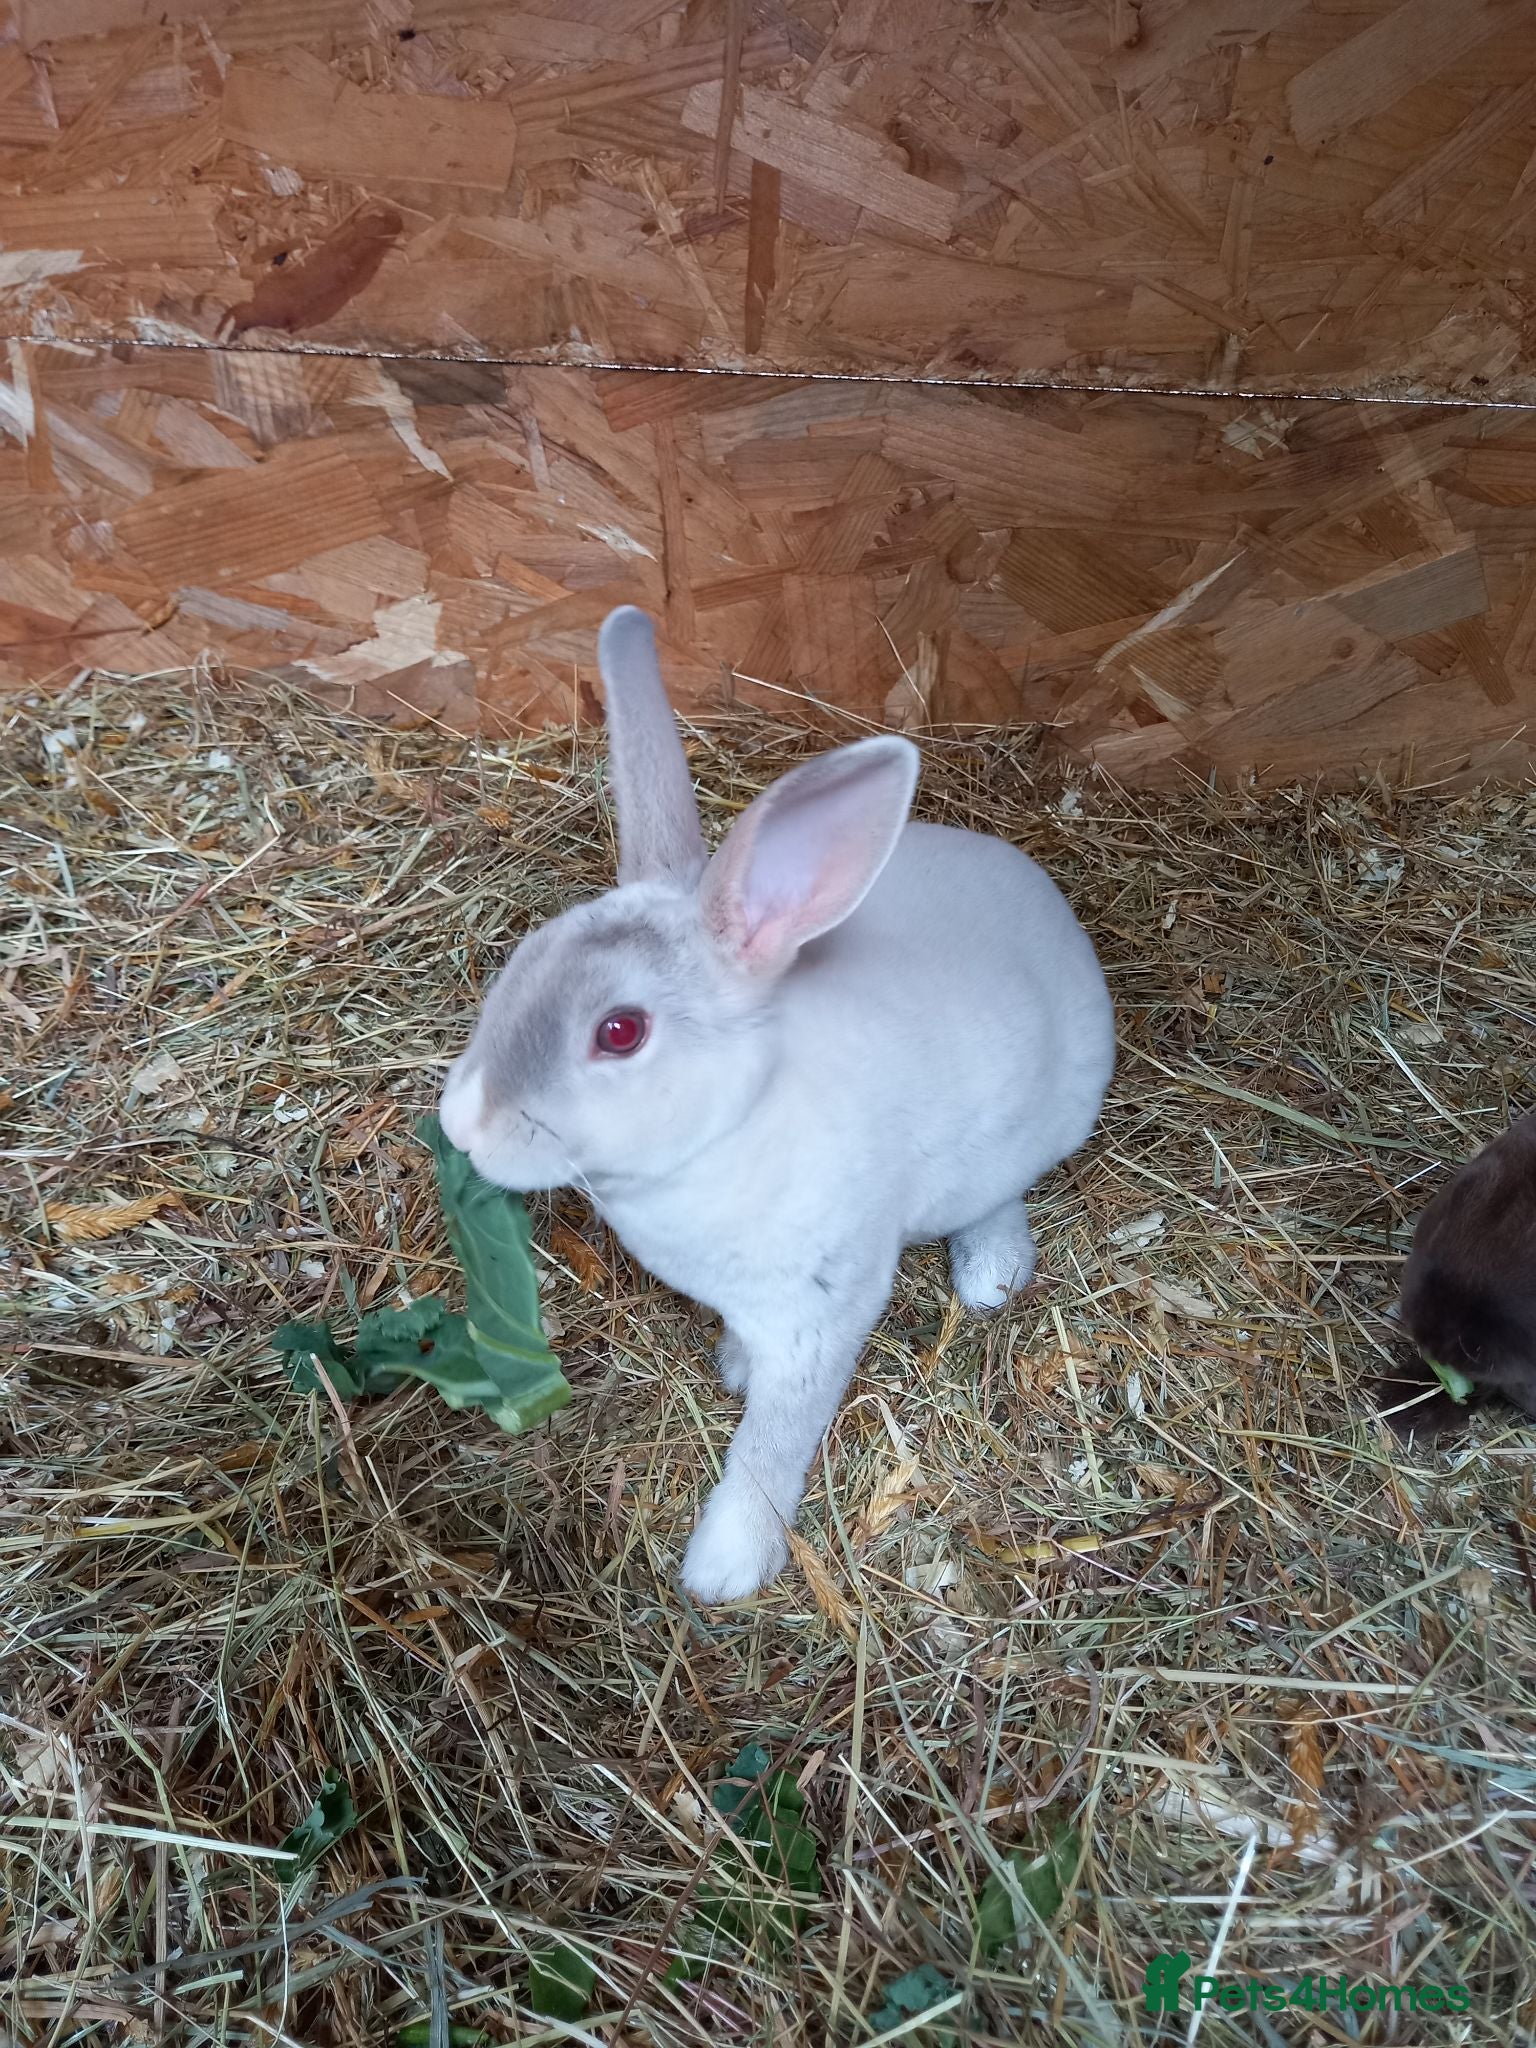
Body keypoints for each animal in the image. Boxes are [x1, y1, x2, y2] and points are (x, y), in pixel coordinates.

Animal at [439, 606, 1115, 1603]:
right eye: (523, 960)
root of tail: (1045, 894)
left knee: (999, 1195)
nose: (465, 1124)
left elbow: (772, 1443)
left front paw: (723, 1568)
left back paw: (990, 1275)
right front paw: (732, 1361)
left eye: (619, 1033)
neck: (735, 1126)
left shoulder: (822, 1314)